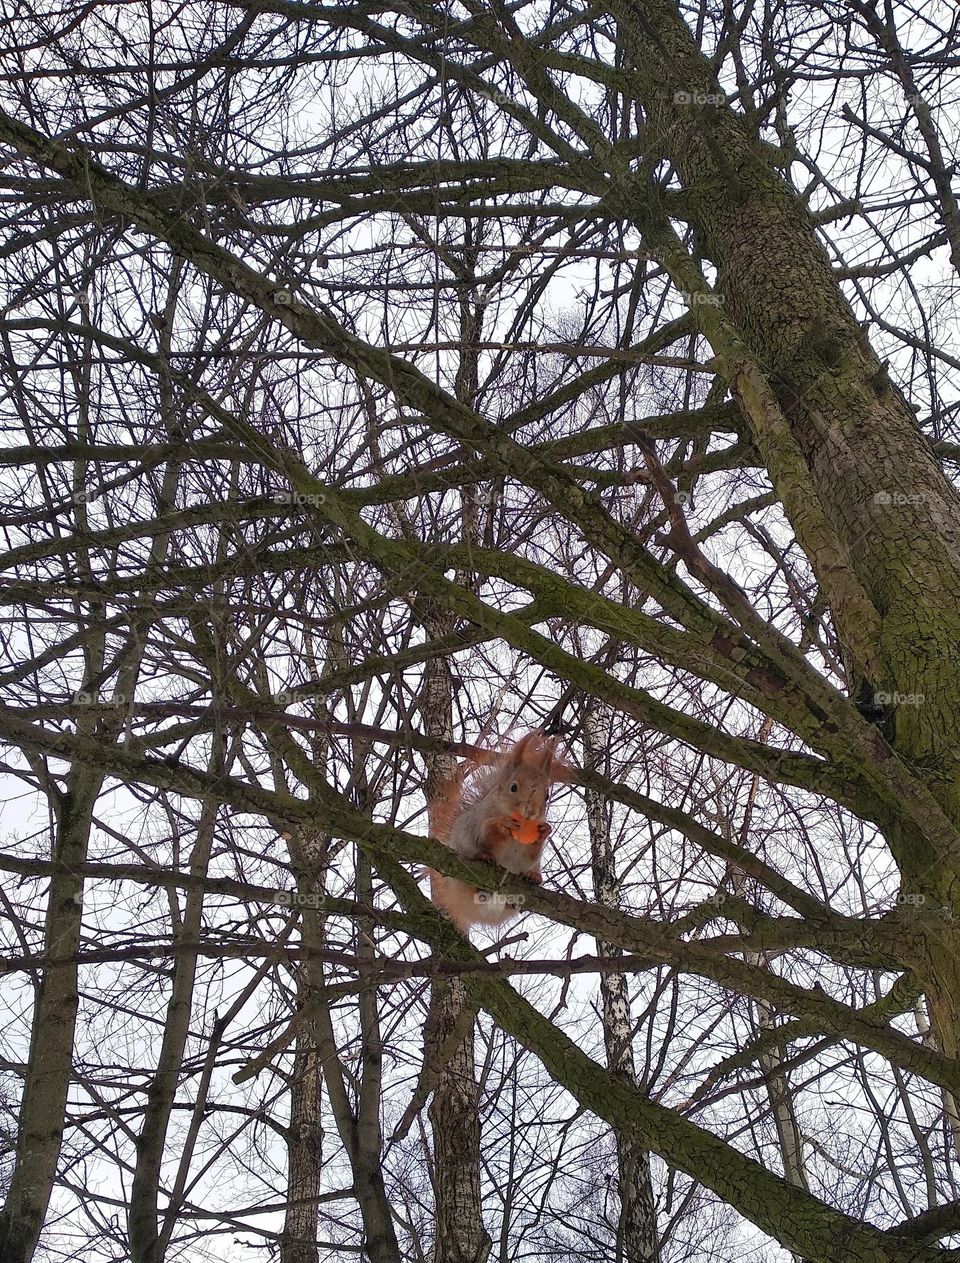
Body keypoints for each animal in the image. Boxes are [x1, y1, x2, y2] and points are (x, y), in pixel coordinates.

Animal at [428, 729, 569, 933]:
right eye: (513, 787)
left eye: (547, 795)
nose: (531, 812)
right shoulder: (478, 820)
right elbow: (486, 833)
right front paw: (502, 825)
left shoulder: (526, 854)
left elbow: (529, 856)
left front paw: (545, 831)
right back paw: (483, 859)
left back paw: (533, 876)